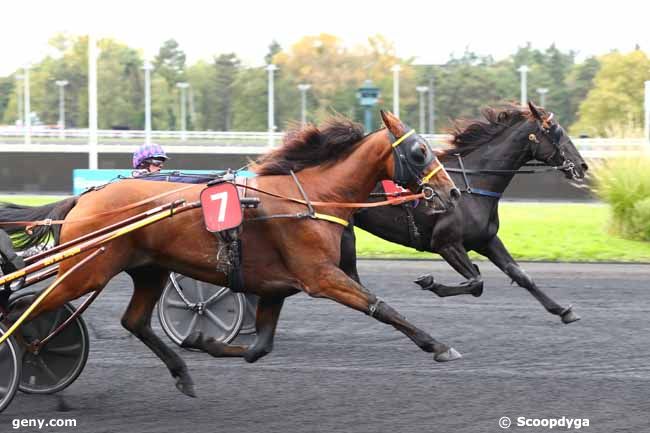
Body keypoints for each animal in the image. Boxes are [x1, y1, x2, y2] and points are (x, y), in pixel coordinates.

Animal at [5, 112, 460, 398]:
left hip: (149, 269)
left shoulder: (276, 287)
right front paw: (439, 345)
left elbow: (260, 347)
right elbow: (381, 307)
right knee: (27, 309)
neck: (312, 199)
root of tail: (85, 198)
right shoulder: (321, 276)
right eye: (419, 152)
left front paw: (202, 340)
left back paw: (182, 373)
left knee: (133, 321)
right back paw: (24, 350)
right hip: (87, 272)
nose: (453, 192)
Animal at [340, 102, 588, 320]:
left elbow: (520, 275)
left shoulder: (486, 239)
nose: (582, 166)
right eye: (554, 130)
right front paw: (430, 282)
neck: (471, 185)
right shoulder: (446, 244)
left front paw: (563, 311)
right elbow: (477, 282)